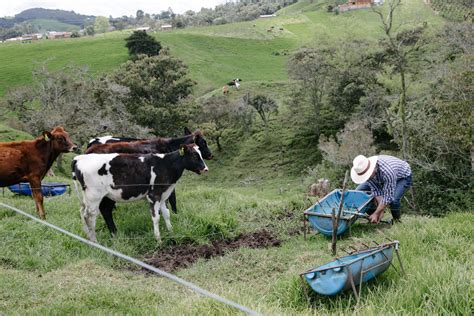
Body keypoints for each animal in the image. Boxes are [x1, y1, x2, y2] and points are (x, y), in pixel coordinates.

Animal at [84, 128, 212, 235]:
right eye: (203, 143)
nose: (211, 155)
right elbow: (172, 199)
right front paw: (176, 214)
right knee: (105, 209)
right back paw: (114, 233)